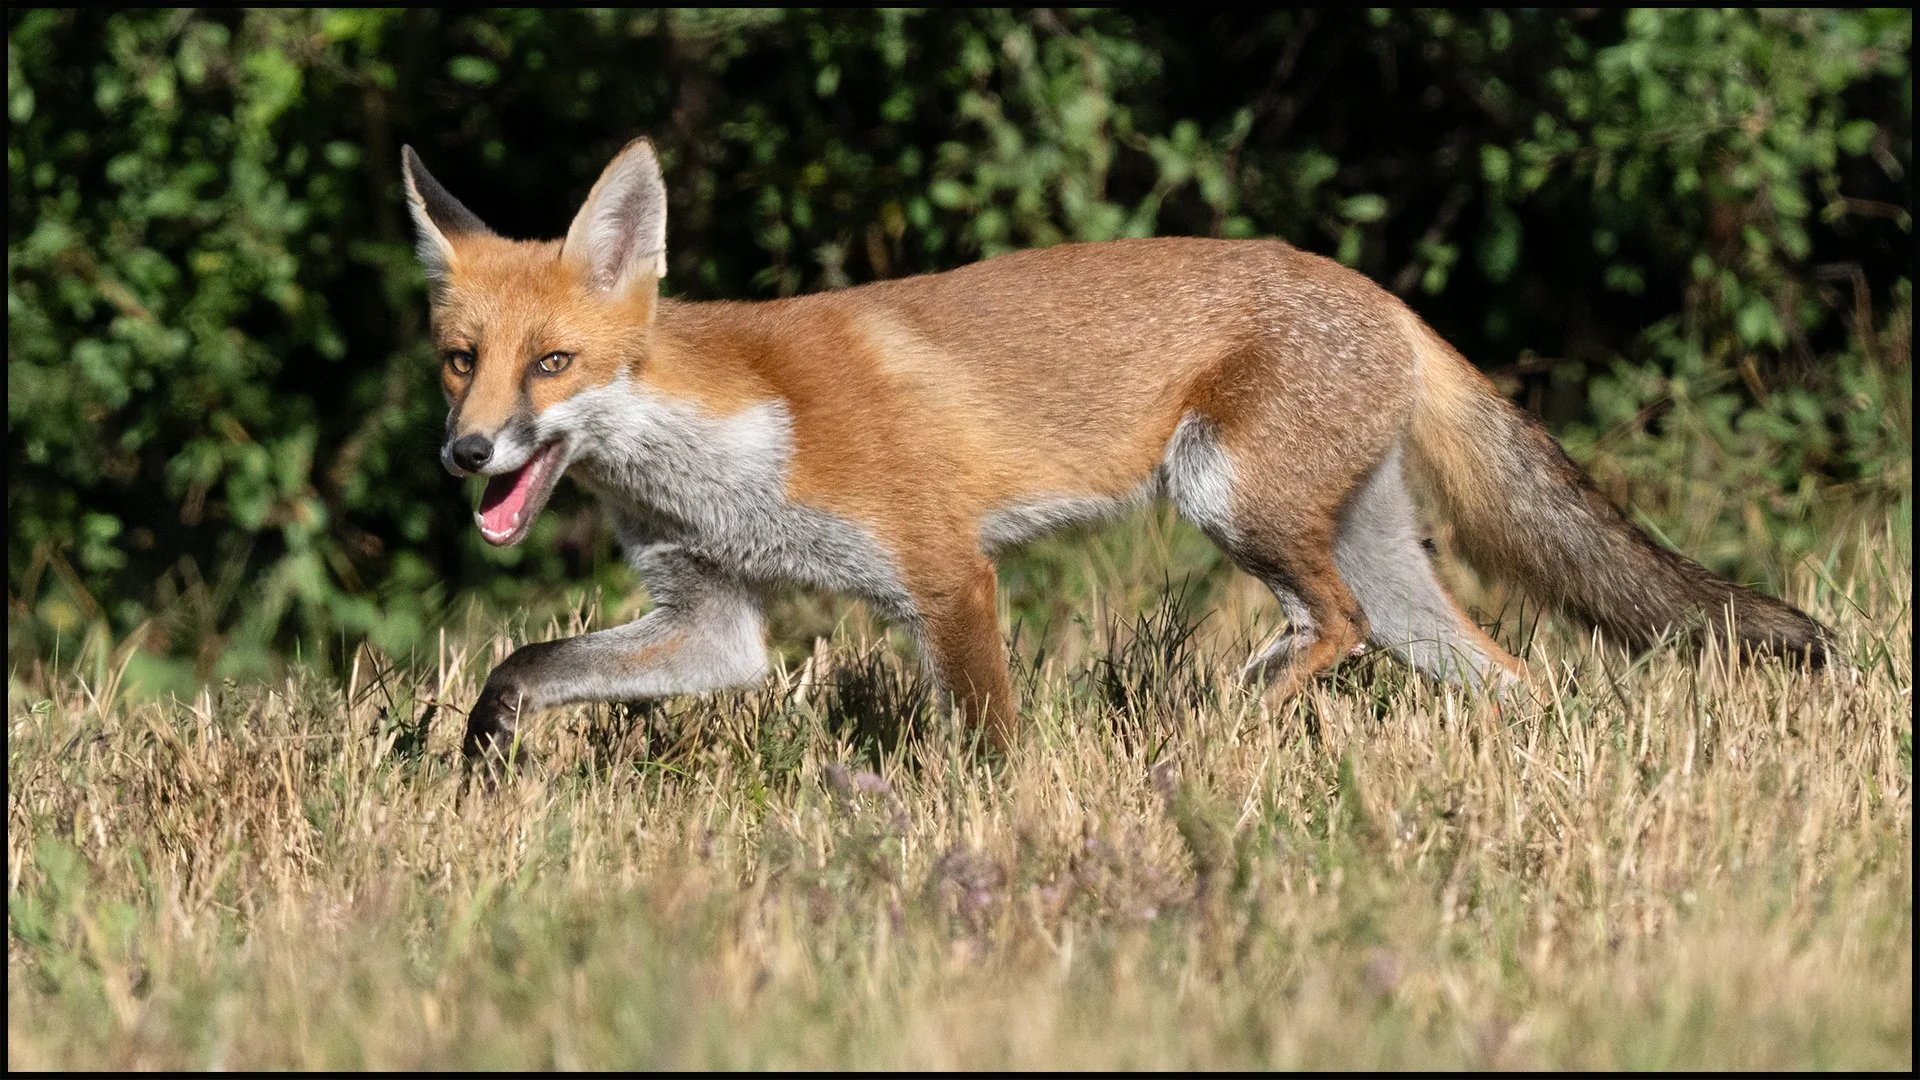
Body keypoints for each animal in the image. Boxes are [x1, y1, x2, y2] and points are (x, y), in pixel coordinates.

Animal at [401, 137, 1836, 761]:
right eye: (460, 359)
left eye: (553, 365)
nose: (466, 457)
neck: (724, 451)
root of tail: (1374, 291)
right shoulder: (712, 619)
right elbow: (525, 668)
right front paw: (480, 759)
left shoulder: (944, 572)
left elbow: (987, 740)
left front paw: (993, 824)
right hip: (1372, 553)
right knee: (1499, 670)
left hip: (1227, 496)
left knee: (1336, 626)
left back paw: (1224, 712)